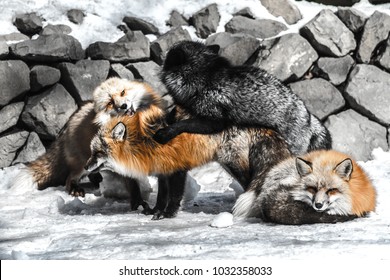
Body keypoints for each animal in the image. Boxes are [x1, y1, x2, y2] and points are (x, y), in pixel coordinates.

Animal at [12, 77, 158, 209]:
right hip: (83, 162)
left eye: (122, 92)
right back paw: (76, 189)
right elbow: (132, 182)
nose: (123, 106)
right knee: (69, 179)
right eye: (110, 103)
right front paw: (138, 202)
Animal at [155, 40, 332, 155]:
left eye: (168, 53)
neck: (203, 78)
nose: (160, 53)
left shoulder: (214, 120)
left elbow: (185, 124)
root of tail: (308, 117)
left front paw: (167, 132)